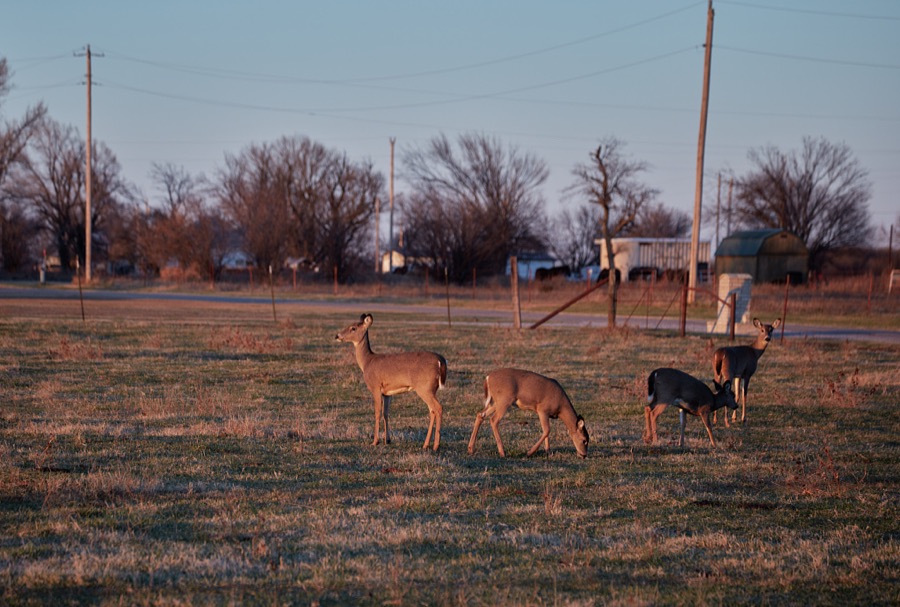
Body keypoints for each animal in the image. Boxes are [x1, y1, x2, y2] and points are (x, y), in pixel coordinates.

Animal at [335, 314, 448, 451]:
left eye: (353, 328)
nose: (337, 336)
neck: (367, 362)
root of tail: (441, 361)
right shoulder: (387, 393)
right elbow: (386, 413)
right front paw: (387, 440)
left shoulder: (375, 387)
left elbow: (377, 412)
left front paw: (375, 441)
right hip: (429, 389)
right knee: (432, 410)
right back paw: (426, 444)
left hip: (424, 388)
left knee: (438, 408)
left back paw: (436, 445)